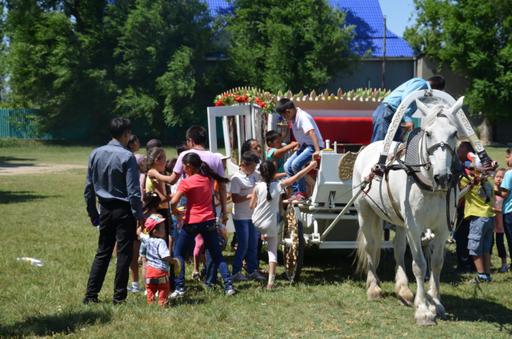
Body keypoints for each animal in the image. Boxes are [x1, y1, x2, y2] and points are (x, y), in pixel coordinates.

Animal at [354, 97, 462, 326]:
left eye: (455, 133)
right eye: (428, 133)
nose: (443, 177)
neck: (429, 184)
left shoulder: (442, 229)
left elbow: (436, 263)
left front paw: (436, 303)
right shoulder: (414, 227)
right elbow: (420, 264)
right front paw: (423, 310)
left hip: (400, 220)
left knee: (397, 248)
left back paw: (403, 289)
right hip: (365, 212)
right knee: (371, 246)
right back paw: (373, 287)